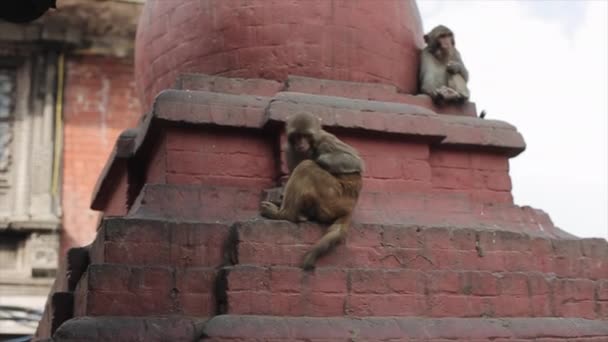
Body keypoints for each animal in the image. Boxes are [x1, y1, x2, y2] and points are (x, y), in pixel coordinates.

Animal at [258, 113, 364, 272]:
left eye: (306, 136)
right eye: (297, 136)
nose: (301, 144)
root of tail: (350, 207)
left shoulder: (326, 139)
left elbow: (355, 161)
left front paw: (319, 157)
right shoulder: (290, 149)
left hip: (335, 196)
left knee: (306, 166)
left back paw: (285, 214)